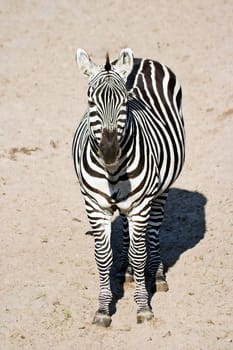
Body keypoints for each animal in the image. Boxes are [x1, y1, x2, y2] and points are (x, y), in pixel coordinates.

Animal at [72, 47, 185, 326]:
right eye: (91, 102)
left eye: (124, 102)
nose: (109, 153)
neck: (112, 172)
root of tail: (141, 59)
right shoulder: (95, 206)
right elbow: (103, 257)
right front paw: (103, 309)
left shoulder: (140, 205)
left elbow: (139, 252)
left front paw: (143, 307)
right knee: (126, 230)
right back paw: (126, 270)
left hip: (160, 192)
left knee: (152, 233)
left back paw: (156, 274)